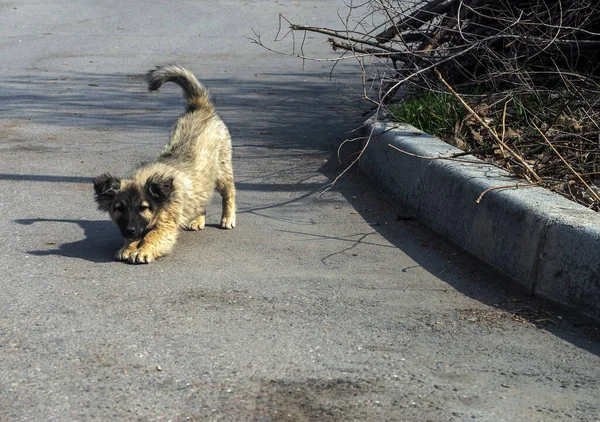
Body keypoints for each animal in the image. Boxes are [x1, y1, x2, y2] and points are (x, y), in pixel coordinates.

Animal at [92, 63, 236, 264]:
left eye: (143, 207)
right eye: (119, 208)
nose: (129, 230)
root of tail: (200, 108)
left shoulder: (167, 224)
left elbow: (152, 236)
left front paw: (142, 250)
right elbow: (140, 235)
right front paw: (128, 247)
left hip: (222, 169)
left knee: (229, 192)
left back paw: (228, 218)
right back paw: (198, 220)